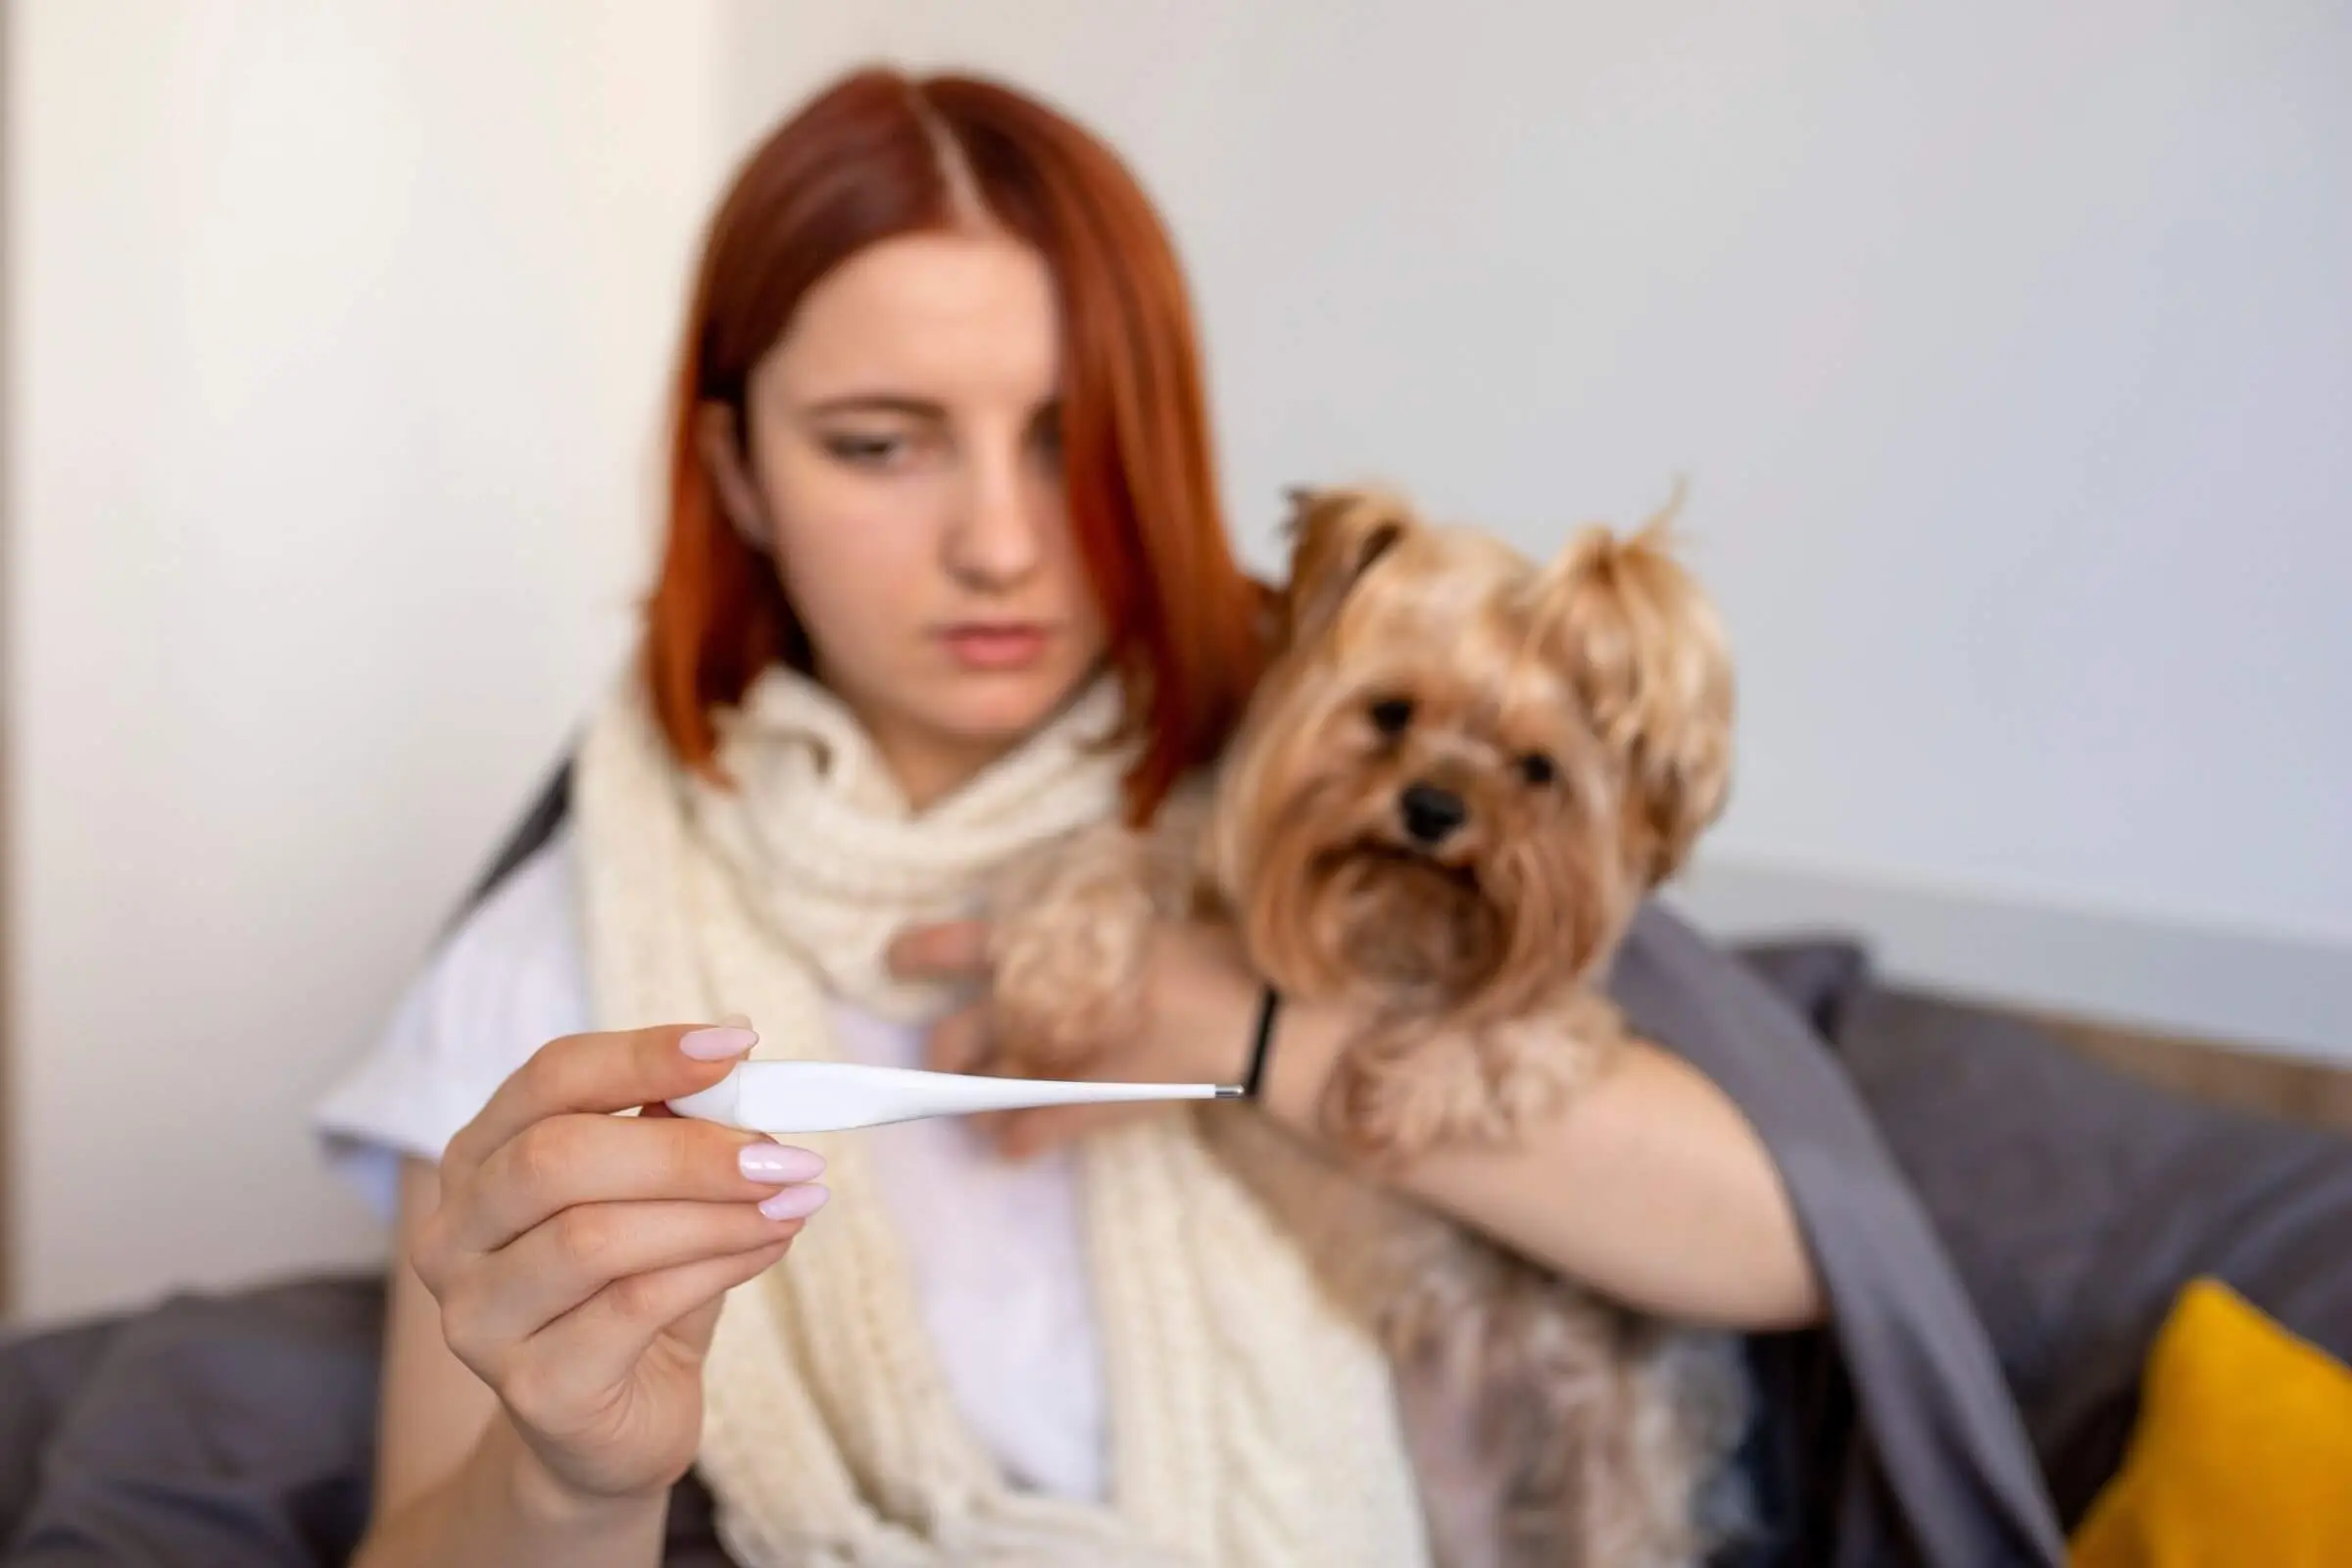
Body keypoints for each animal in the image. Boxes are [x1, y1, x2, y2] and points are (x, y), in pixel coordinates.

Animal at [988, 484, 1749, 1560]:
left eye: (1537, 769)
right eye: (1391, 712)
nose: (1432, 807)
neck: (1392, 917)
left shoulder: (1556, 1014)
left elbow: (1526, 1023)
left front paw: (1404, 1085)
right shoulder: (1204, 850)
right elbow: (1113, 854)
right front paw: (1059, 974)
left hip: (1625, 1458)